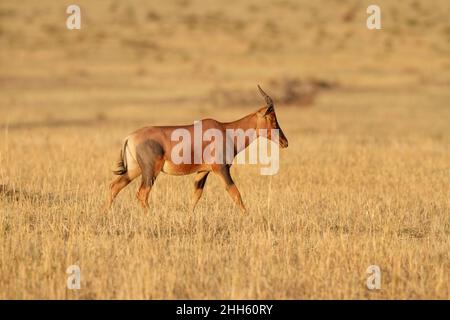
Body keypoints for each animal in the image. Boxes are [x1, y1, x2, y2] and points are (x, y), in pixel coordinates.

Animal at [106, 86, 288, 214]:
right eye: (272, 118)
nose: (285, 142)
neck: (225, 130)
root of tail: (130, 137)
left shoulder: (202, 172)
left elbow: (195, 197)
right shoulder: (221, 169)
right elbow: (235, 193)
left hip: (135, 169)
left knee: (114, 186)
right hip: (151, 171)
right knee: (142, 194)